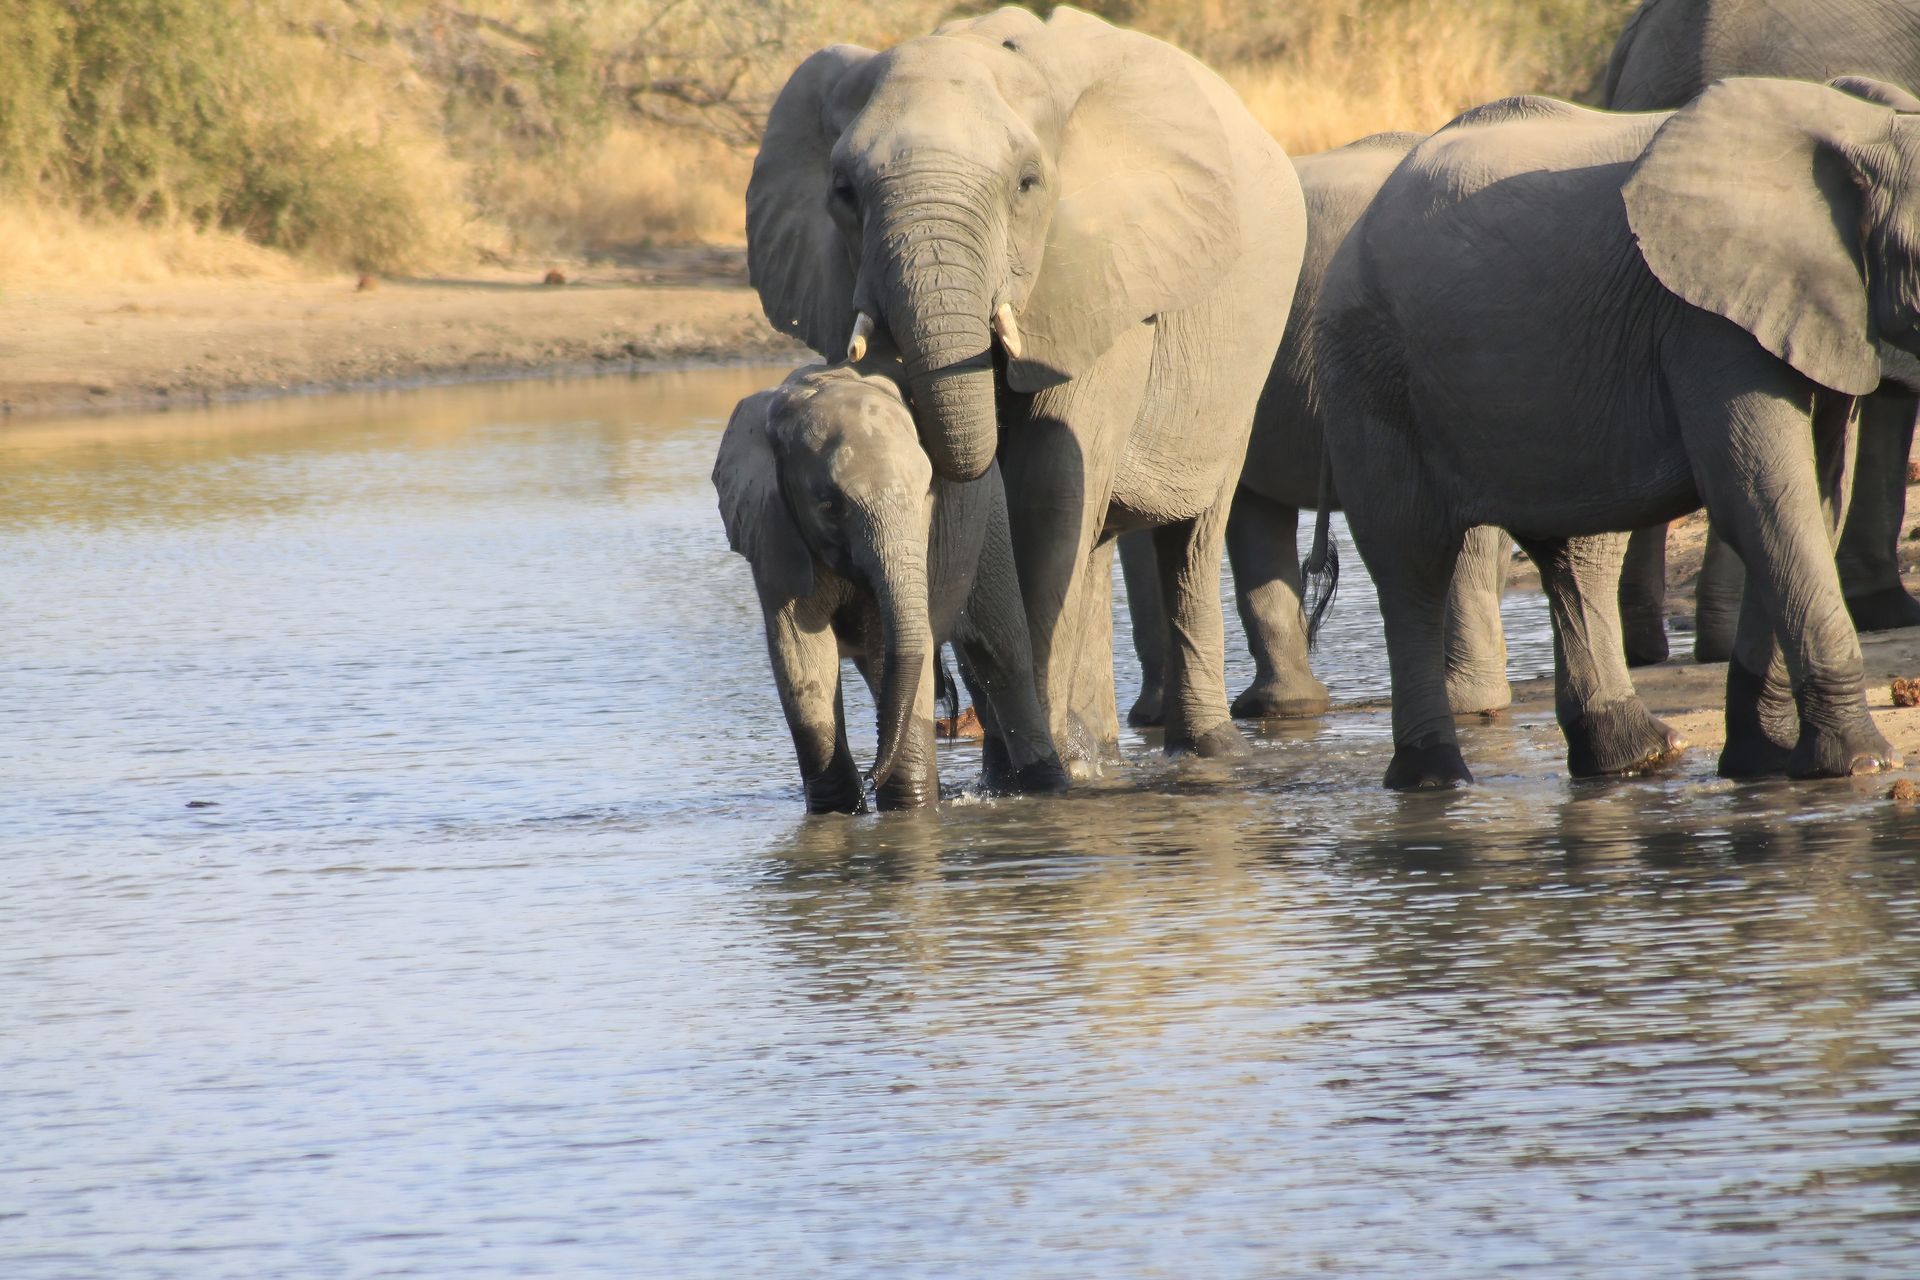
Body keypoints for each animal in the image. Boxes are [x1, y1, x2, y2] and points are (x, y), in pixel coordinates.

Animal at [718, 364, 1075, 817]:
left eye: (927, 491)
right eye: (829, 504)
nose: (870, 777)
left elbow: (894, 647)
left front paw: (907, 812)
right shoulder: (772, 530)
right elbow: (801, 655)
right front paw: (837, 812)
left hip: (991, 523)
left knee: (1003, 661)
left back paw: (1045, 787)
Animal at [744, 7, 1305, 771]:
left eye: (1028, 185)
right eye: (844, 192)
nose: (952, 715)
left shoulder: (1106, 276)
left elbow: (1047, 483)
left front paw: (1036, 774)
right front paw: (1031, 767)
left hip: (1243, 364)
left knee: (1188, 534)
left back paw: (1200, 750)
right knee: (1095, 544)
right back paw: (1100, 751)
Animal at [1313, 80, 1920, 790]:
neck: (1864, 128)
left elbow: (1813, 502)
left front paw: (1762, 768)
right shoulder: (1706, 321)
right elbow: (1763, 500)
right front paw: (1860, 764)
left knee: (1577, 555)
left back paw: (1636, 761)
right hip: (1370, 368)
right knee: (1412, 560)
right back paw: (1433, 782)